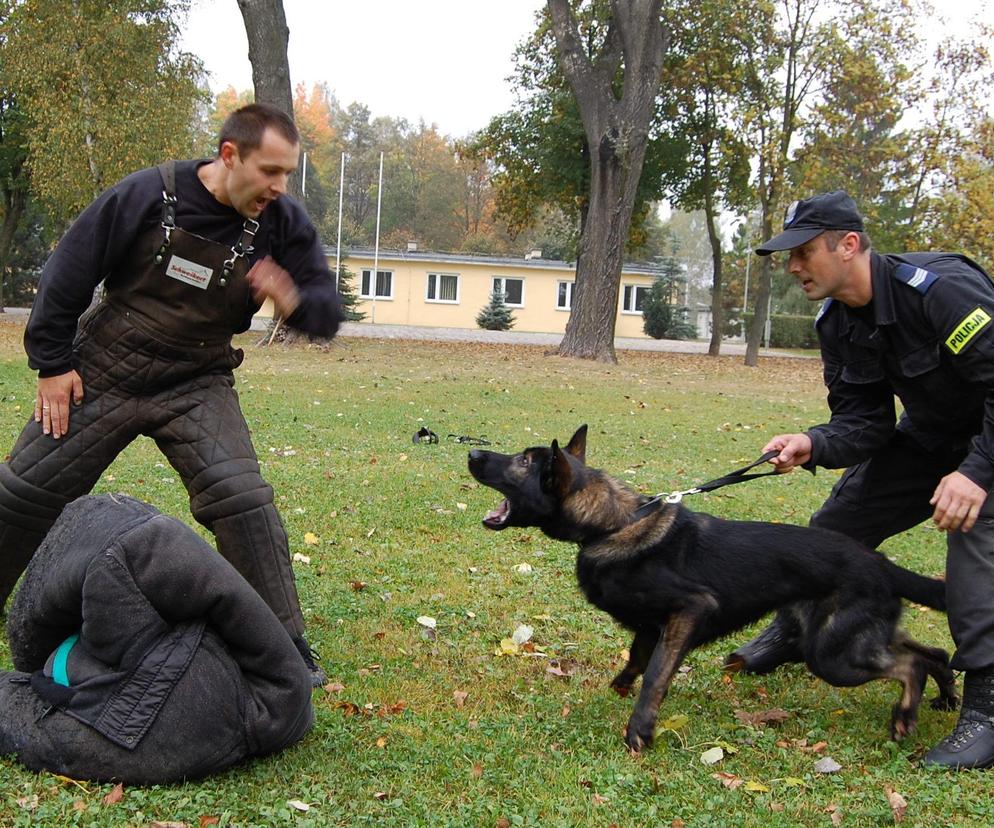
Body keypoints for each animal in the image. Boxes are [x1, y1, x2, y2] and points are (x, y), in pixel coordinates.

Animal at [468, 426, 956, 752]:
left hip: (831, 654)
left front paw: (640, 730)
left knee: (910, 665)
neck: (612, 525)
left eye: (523, 462)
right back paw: (946, 699)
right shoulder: (650, 627)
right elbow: (636, 662)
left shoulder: (689, 611)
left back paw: (905, 717)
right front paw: (620, 688)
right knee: (934, 653)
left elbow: (656, 676)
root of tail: (881, 563)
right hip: (855, 638)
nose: (472, 451)